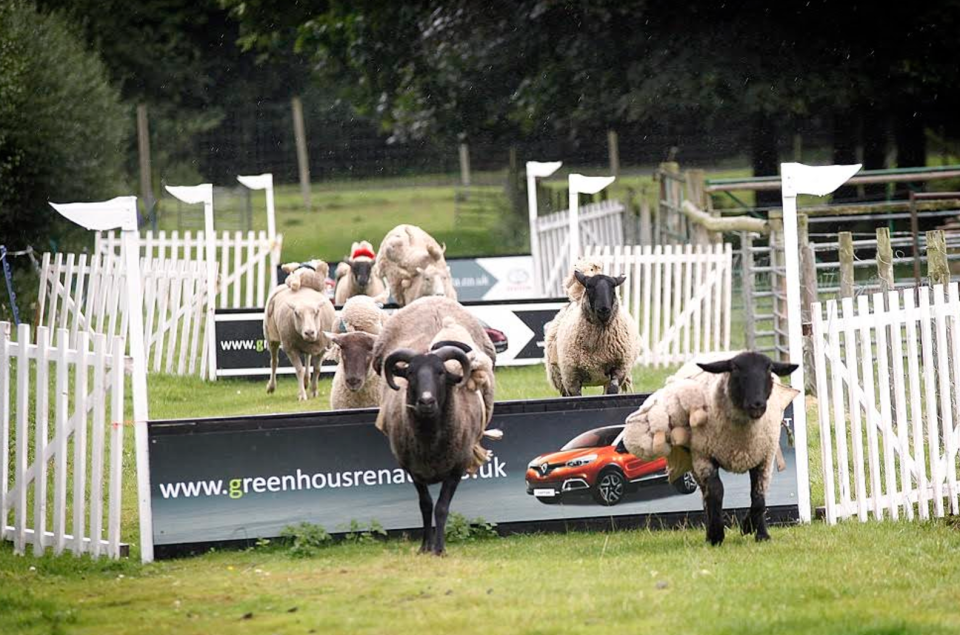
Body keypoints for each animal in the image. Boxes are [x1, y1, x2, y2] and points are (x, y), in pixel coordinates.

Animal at [372, 296, 498, 556]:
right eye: (410, 373)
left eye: (441, 372)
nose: (426, 401)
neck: (430, 439)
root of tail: (432, 298)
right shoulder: (412, 469)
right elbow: (426, 506)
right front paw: (424, 547)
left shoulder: (457, 467)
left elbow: (441, 507)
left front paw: (439, 548)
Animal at [620, 352, 800, 548]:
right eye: (735, 369)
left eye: (769, 370)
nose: (757, 404)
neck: (741, 439)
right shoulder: (704, 457)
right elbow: (715, 492)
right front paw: (716, 534)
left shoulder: (764, 457)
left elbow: (758, 496)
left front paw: (755, 531)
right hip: (694, 461)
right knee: (706, 496)